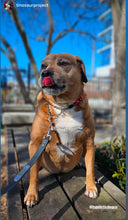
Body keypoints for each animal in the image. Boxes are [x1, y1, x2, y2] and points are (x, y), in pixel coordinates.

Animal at [24, 52, 97, 206]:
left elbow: (90, 169)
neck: (64, 107)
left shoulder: (89, 143)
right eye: (43, 66)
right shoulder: (35, 143)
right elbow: (33, 174)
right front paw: (32, 194)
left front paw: (91, 187)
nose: (45, 73)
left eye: (63, 63)